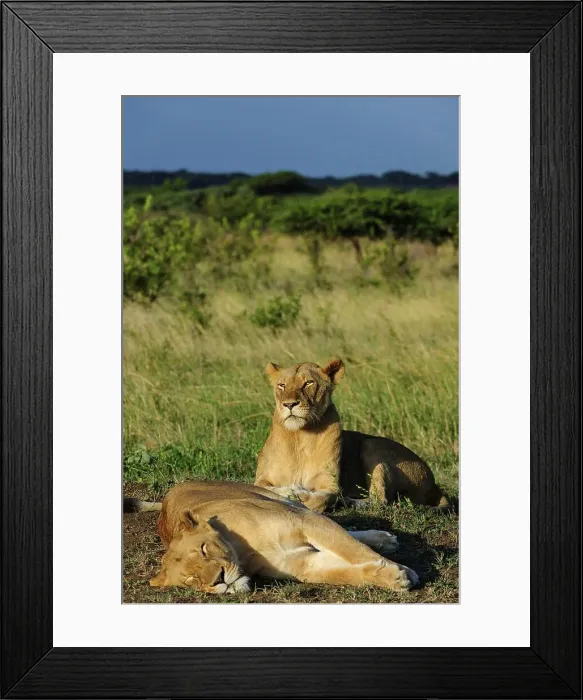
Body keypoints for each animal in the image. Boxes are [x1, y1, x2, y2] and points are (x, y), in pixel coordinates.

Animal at [131, 480, 418, 593]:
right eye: (191, 580)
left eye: (204, 549)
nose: (219, 580)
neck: (243, 553)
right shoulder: (302, 564)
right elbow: (345, 573)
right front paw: (391, 577)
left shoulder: (304, 522)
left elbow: (354, 551)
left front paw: (404, 571)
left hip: (286, 503)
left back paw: (383, 539)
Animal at [254, 358, 451, 513]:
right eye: (281, 385)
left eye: (308, 383)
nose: (289, 404)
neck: (301, 436)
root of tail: (433, 483)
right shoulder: (262, 479)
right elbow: (267, 489)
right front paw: (291, 491)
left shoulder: (332, 485)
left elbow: (322, 499)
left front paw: (300, 495)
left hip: (372, 445)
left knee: (381, 500)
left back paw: (351, 502)